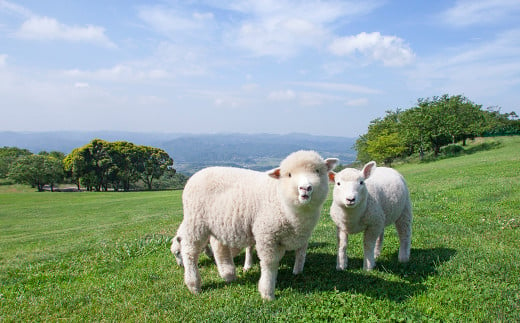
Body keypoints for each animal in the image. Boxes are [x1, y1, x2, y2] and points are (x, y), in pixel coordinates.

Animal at [175, 151, 338, 302]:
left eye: (317, 171)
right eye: (289, 175)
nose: (305, 188)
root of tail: (196, 175)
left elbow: (290, 257)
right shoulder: (267, 234)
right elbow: (269, 263)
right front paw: (267, 293)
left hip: (219, 223)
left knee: (218, 246)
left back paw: (228, 274)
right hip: (196, 221)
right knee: (189, 251)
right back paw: (194, 285)